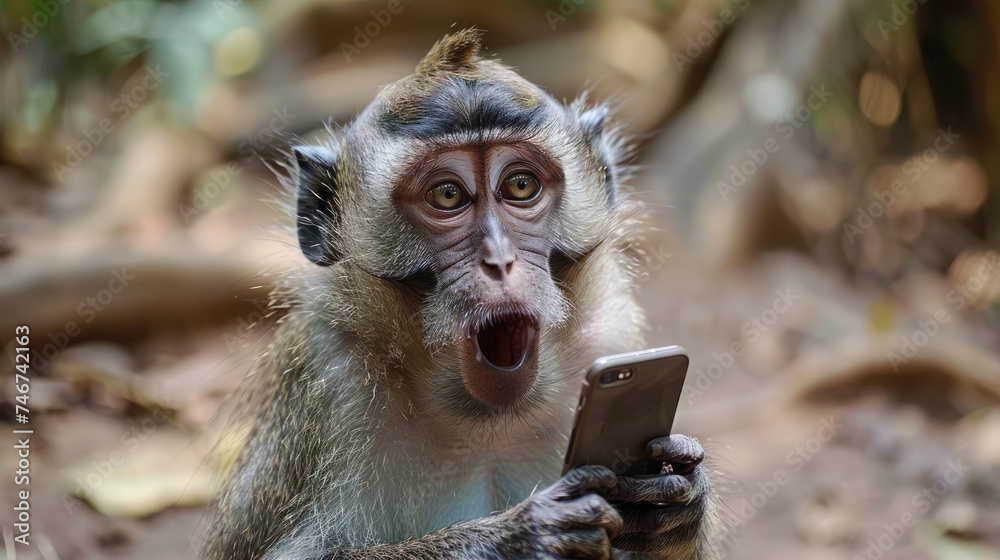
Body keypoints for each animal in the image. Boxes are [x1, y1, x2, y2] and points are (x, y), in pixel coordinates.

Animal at [202, 29, 721, 560]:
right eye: (447, 195)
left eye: (520, 185)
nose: (499, 260)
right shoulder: (331, 379)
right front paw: (519, 535)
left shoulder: (609, 337)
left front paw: (677, 503)